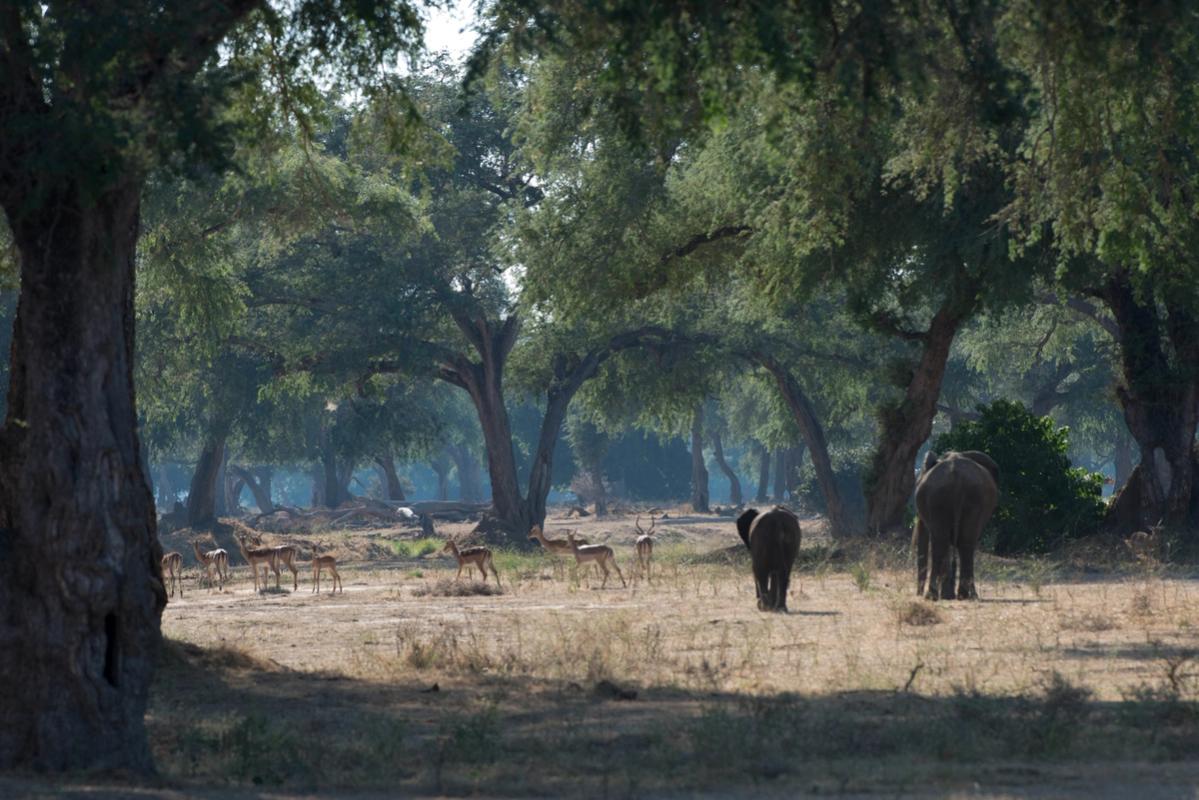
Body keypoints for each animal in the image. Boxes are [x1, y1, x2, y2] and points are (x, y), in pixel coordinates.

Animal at [911, 450, 997, 599]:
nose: (918, 593)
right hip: (971, 498)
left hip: (939, 499)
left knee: (941, 542)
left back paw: (932, 595)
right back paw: (966, 595)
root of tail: (957, 479)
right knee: (965, 542)